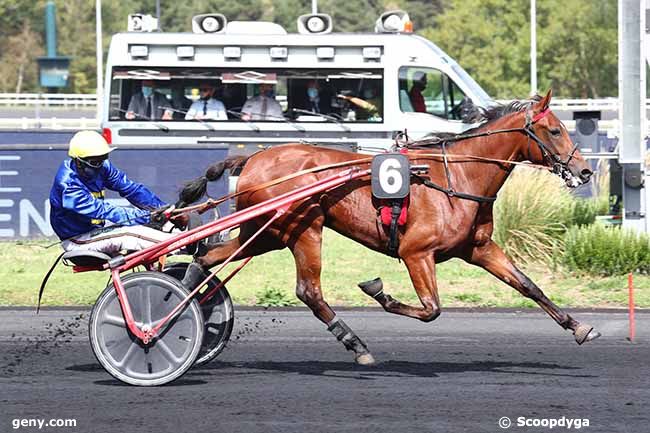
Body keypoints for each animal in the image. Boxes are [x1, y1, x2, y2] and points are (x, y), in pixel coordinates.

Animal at [177, 88, 596, 364]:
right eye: (555, 130)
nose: (585, 171)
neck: (458, 176)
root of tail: (253, 159)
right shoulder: (416, 253)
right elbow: (431, 309)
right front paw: (378, 290)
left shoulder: (479, 249)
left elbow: (528, 285)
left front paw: (578, 327)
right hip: (302, 229)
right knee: (308, 291)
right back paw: (356, 345)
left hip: (265, 234)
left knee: (207, 257)